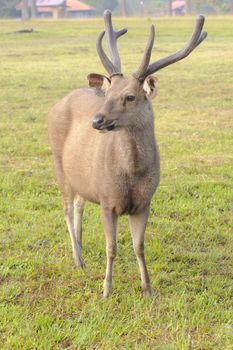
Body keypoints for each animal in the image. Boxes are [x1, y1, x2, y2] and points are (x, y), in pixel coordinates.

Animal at [47, 9, 208, 296]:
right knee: (65, 208)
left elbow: (139, 246)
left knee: (78, 204)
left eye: (130, 96)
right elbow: (112, 248)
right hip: (58, 163)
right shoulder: (107, 199)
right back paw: (77, 258)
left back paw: (82, 251)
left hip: (82, 177)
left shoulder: (144, 202)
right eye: (108, 92)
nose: (97, 120)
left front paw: (148, 289)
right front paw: (106, 290)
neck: (131, 175)